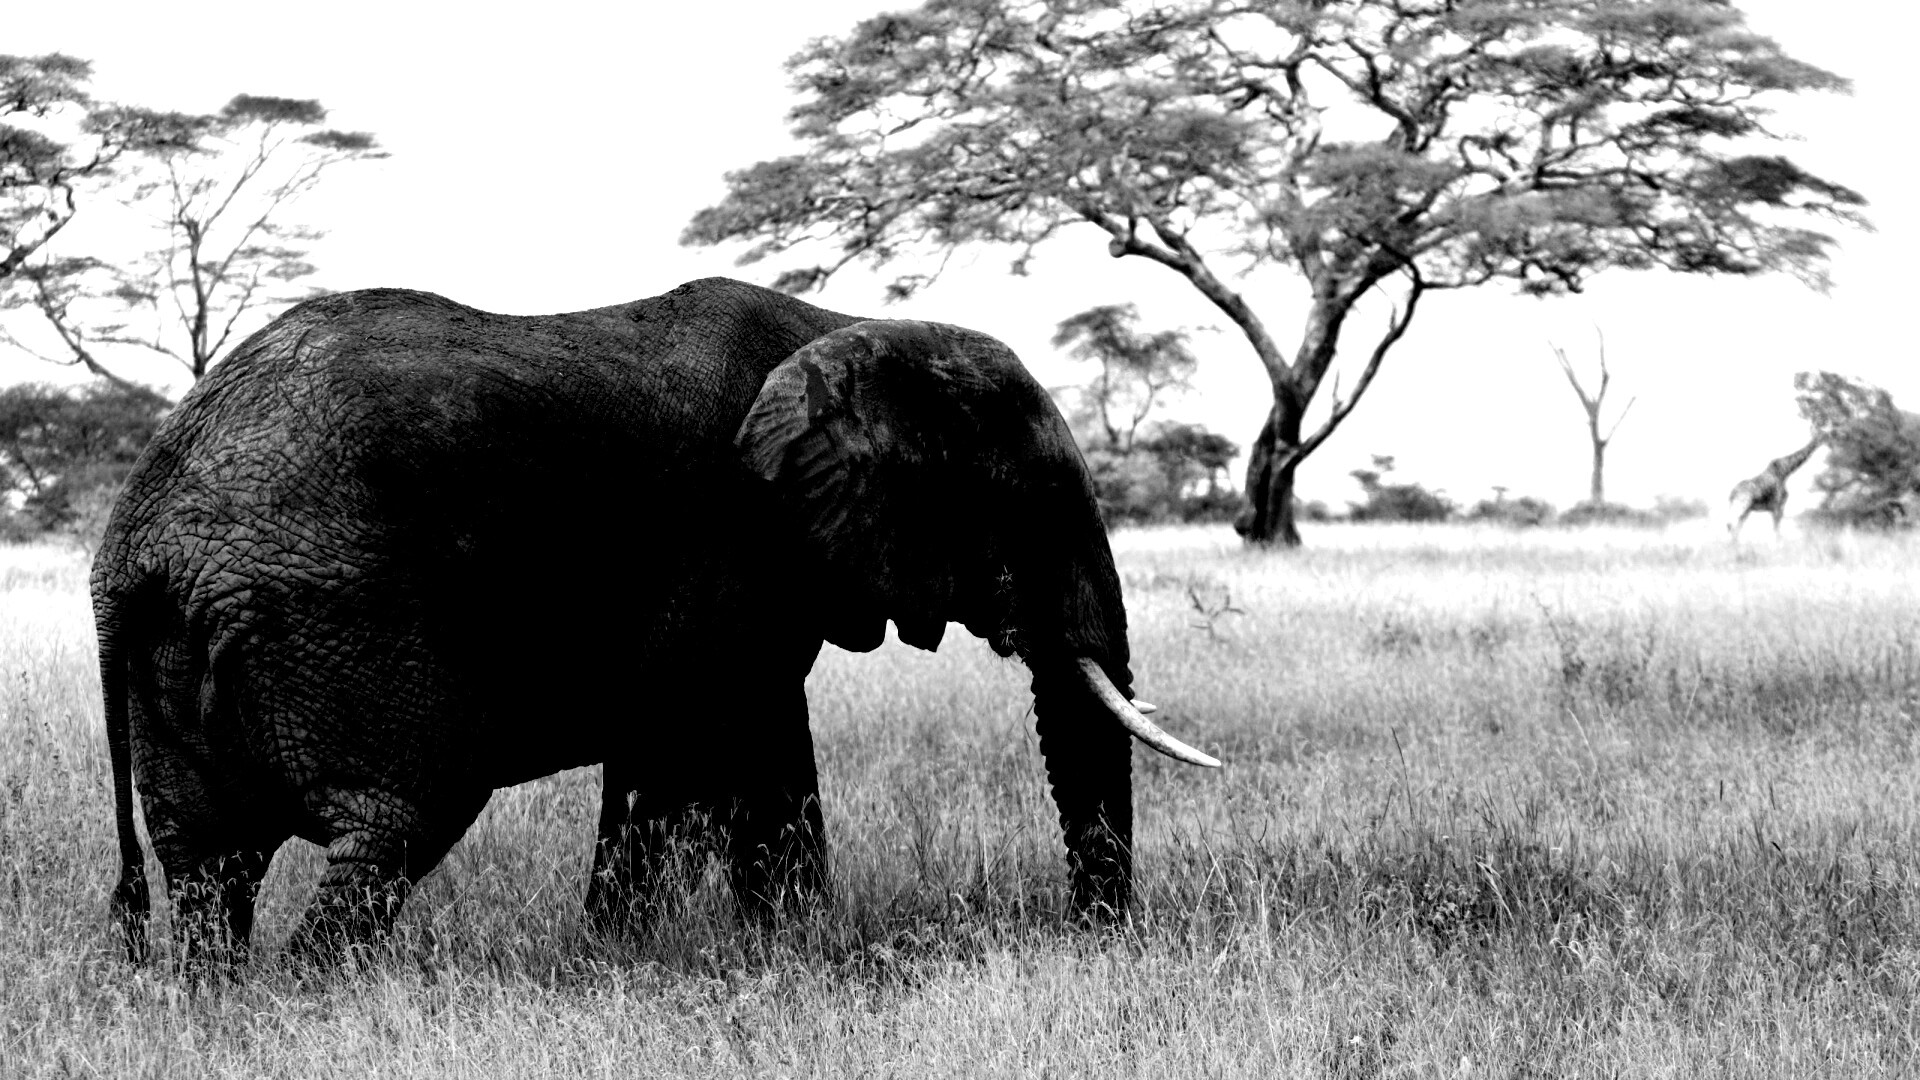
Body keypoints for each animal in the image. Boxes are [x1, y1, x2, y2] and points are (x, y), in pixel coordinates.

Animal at [93, 276, 1219, 964]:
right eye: (1030, 502)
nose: (1093, 936)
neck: (848, 328)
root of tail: (136, 546)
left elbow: (689, 761)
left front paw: (668, 955)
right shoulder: (738, 545)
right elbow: (732, 751)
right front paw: (764, 956)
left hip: (185, 652)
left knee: (207, 862)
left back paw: (220, 1004)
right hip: (329, 615)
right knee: (398, 818)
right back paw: (314, 1001)